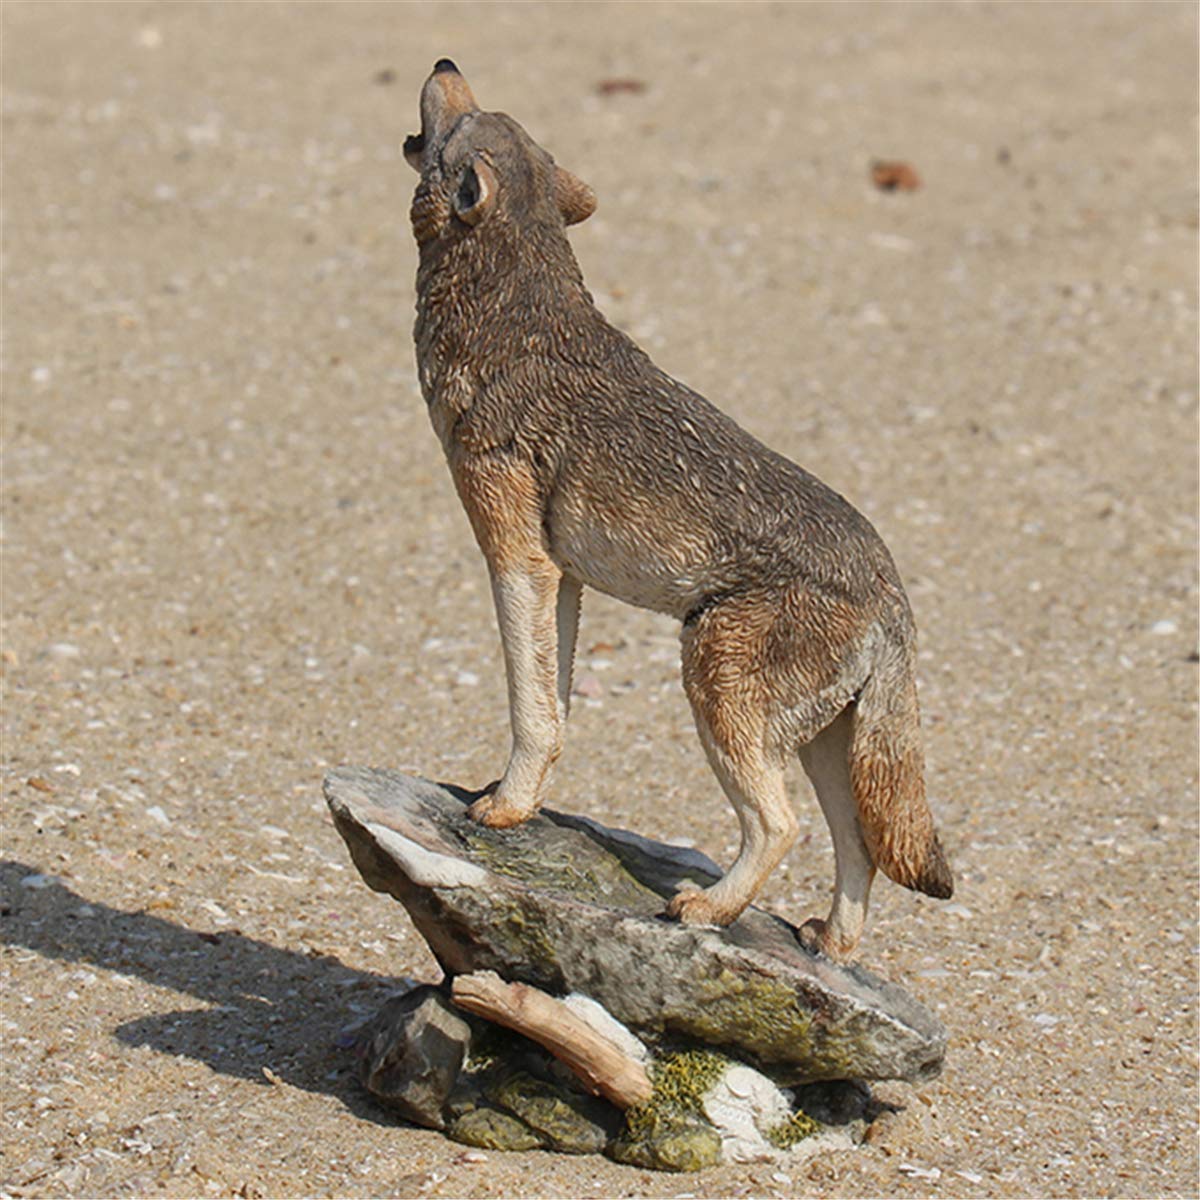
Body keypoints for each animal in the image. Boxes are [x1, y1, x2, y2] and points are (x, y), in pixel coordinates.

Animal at [403, 60, 952, 960]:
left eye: (464, 119)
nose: (446, 64)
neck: (508, 309)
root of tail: (895, 594)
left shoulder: (517, 556)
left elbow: (532, 710)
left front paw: (504, 810)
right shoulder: (564, 577)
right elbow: (554, 709)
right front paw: (520, 798)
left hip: (713, 676)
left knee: (783, 826)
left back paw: (708, 910)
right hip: (821, 742)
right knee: (857, 845)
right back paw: (828, 943)